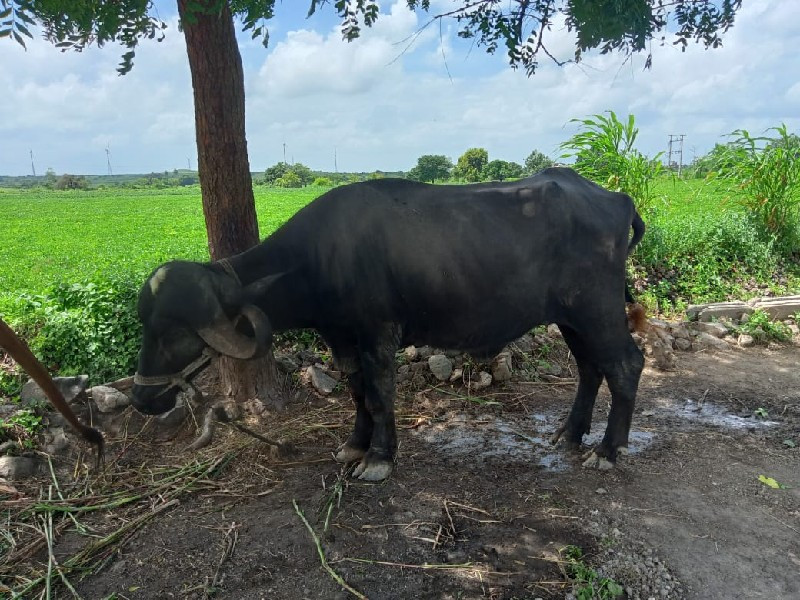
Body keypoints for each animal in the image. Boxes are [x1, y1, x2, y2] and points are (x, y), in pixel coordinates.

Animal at [131, 166, 644, 480]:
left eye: (172, 332)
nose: (140, 397)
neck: (317, 259)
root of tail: (617, 199)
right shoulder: (341, 337)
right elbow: (357, 391)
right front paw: (355, 445)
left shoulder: (378, 334)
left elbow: (380, 394)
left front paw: (379, 457)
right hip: (571, 317)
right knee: (590, 368)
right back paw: (569, 435)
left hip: (597, 310)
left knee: (626, 364)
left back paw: (607, 450)